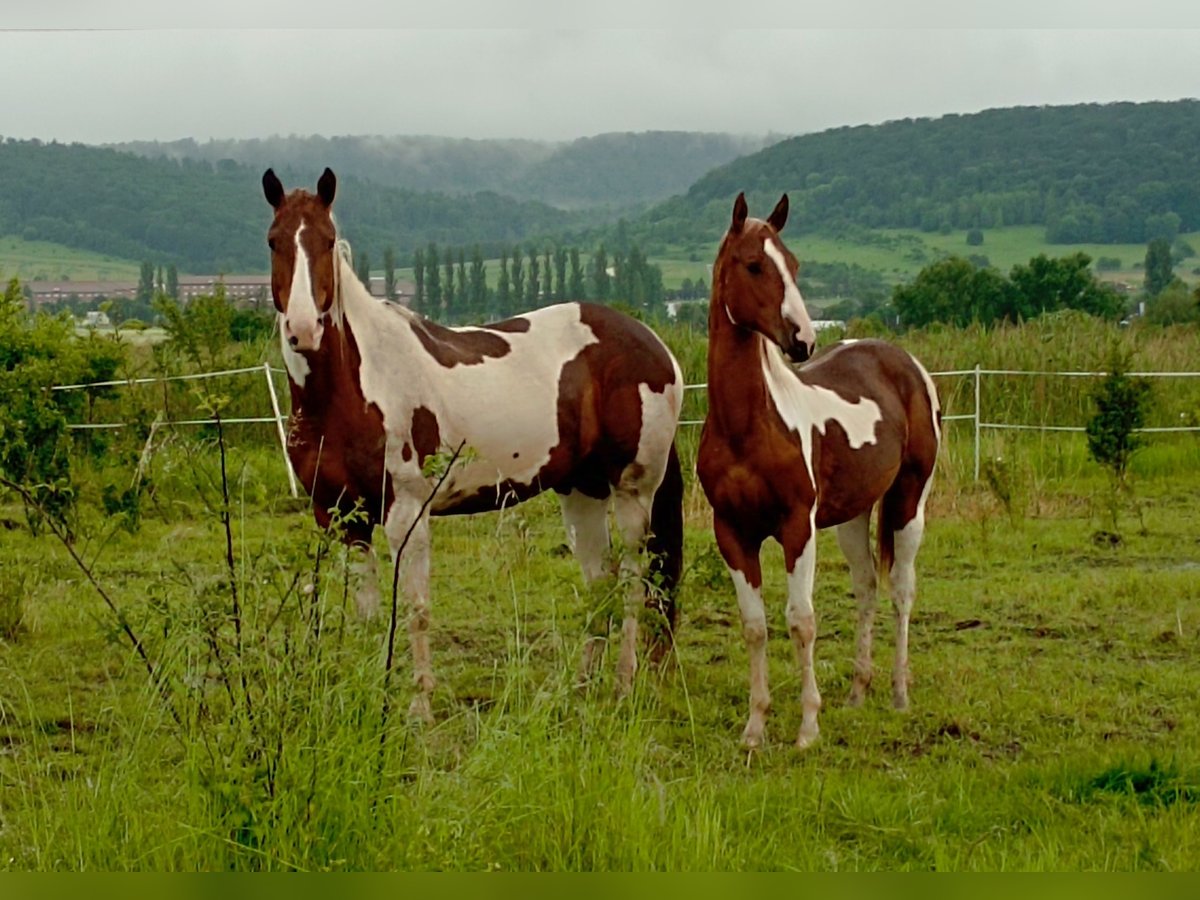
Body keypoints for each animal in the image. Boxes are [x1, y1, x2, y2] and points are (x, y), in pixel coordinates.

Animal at [260, 168, 686, 720]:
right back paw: (579, 690)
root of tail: (656, 348)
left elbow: (415, 609)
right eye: (274, 241)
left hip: (634, 492)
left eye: (328, 241)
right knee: (601, 584)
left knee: (635, 585)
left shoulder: (406, 513)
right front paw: (370, 699)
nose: (303, 329)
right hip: (581, 491)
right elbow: (367, 614)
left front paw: (419, 708)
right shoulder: (339, 515)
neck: (351, 387)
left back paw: (623, 686)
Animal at [700, 194, 940, 748]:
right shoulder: (732, 533)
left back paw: (898, 694)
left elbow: (801, 621)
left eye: (794, 265)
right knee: (868, 586)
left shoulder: (797, 528)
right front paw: (755, 727)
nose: (803, 341)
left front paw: (808, 726)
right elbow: (755, 626)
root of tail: (905, 363)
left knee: (902, 589)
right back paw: (857, 692)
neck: (749, 426)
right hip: (853, 514)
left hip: (908, 501)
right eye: (753, 264)